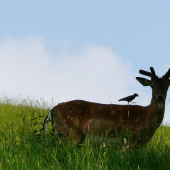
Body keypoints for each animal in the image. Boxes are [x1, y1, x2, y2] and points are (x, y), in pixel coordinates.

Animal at [41, 67, 170, 149]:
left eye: (167, 85)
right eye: (152, 85)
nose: (160, 96)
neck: (145, 117)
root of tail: (52, 110)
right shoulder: (127, 140)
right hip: (68, 132)